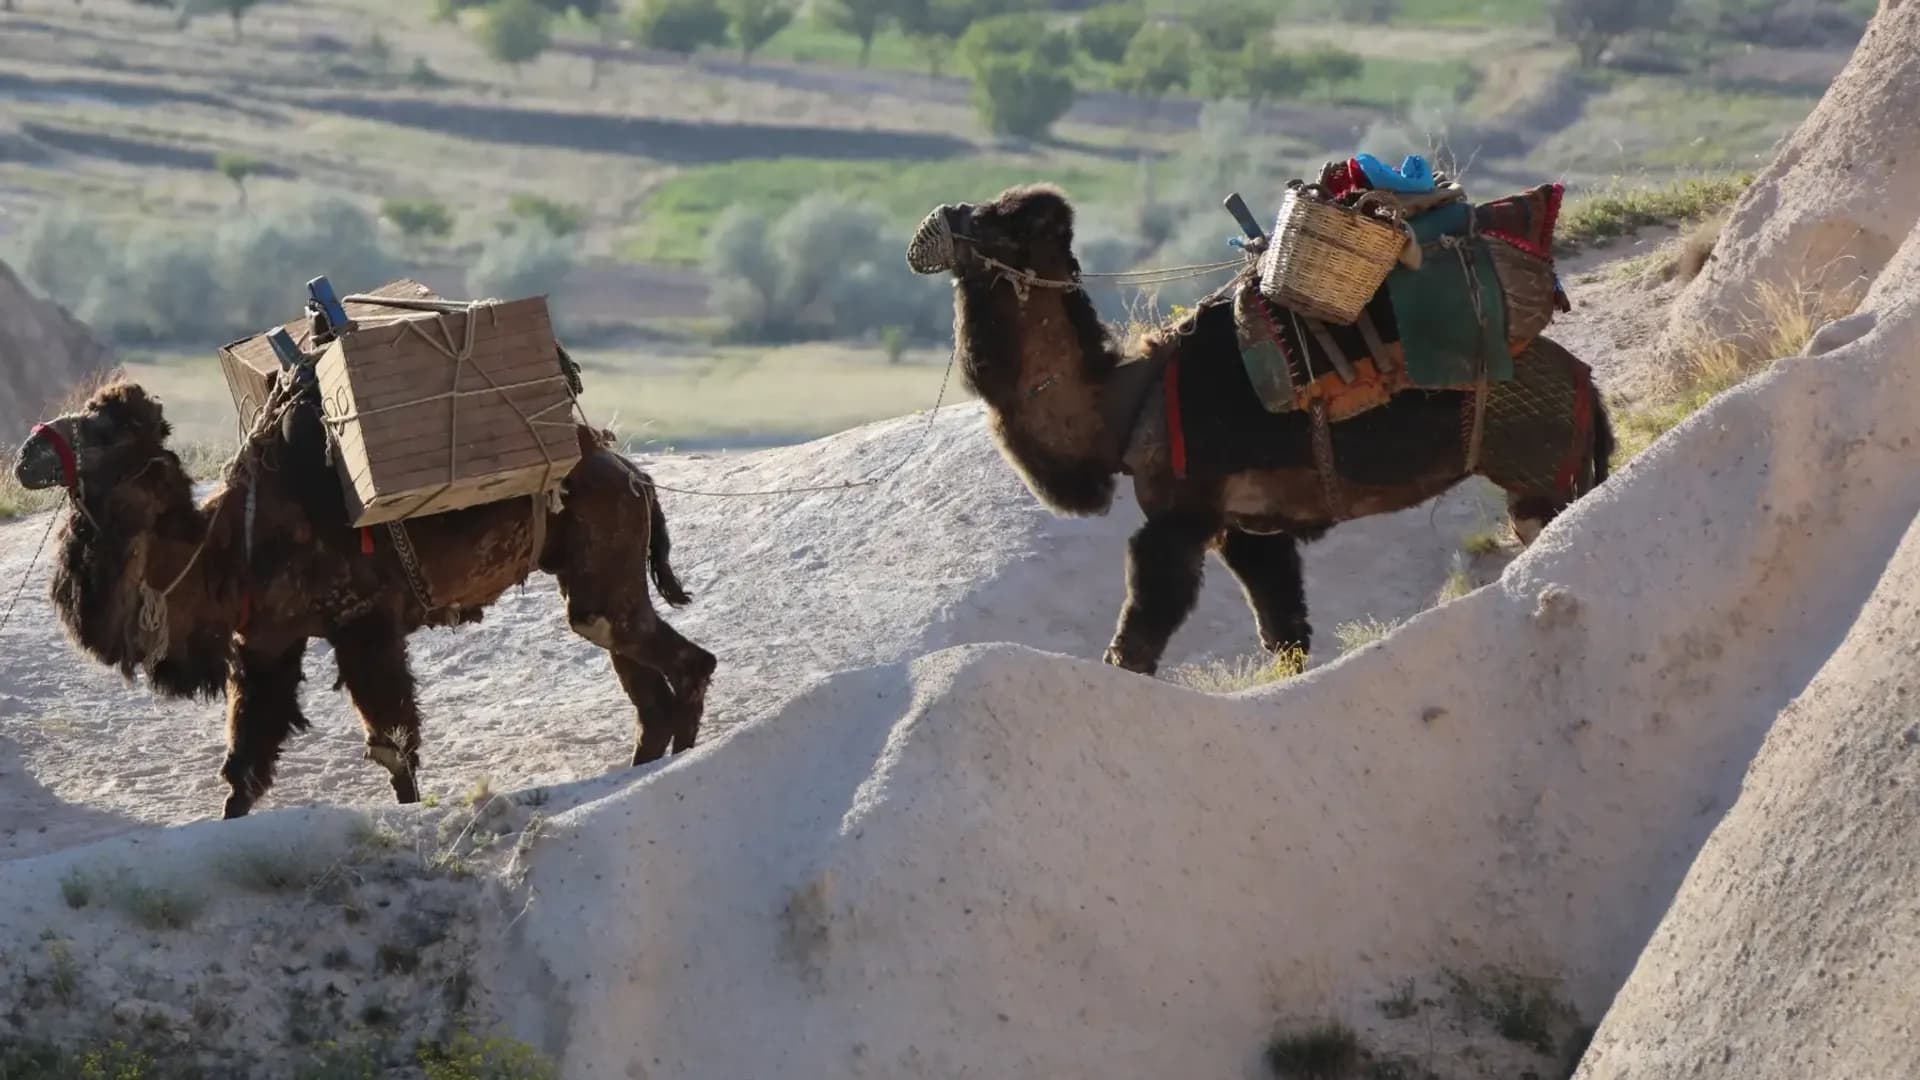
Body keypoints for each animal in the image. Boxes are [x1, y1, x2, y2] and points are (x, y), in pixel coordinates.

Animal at [11, 375, 715, 819]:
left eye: (100, 431)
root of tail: (631, 471)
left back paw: (686, 760)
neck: (223, 552)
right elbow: (244, 766)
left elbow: (391, 744)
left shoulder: (363, 624)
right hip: (595, 579)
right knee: (632, 665)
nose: (25, 453)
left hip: (606, 556)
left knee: (681, 660)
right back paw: (646, 767)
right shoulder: (266, 646)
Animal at [907, 183, 1614, 676]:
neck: (1125, 408)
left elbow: (1140, 632)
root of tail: (1589, 386)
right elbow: (1284, 630)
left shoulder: (1181, 517)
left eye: (1000, 222)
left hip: (1539, 460)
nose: (945, 213)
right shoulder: (1248, 528)